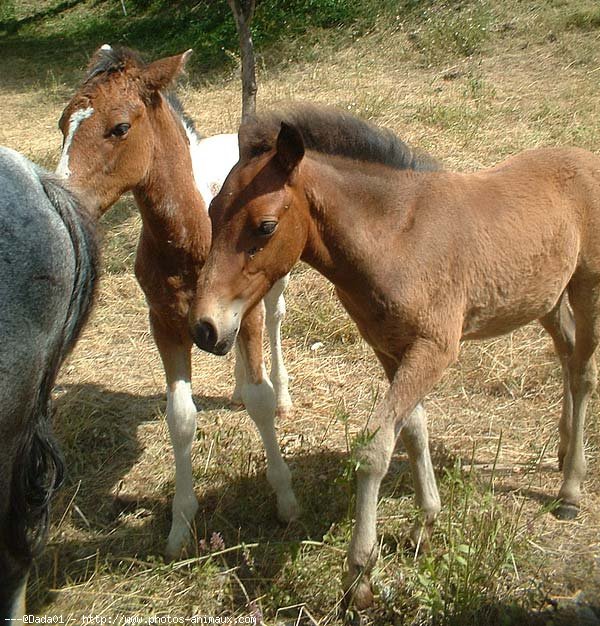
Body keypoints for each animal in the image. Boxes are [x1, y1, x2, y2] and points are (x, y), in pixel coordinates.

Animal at [58, 46, 298, 560]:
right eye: (63, 123)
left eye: (119, 127)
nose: (64, 197)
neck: (192, 232)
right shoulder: (165, 324)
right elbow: (181, 417)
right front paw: (180, 527)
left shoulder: (246, 310)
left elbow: (261, 399)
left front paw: (285, 498)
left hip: (275, 283)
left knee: (275, 321)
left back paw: (283, 392)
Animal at [191, 105, 600, 608]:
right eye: (212, 211)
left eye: (265, 226)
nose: (205, 328)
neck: (397, 236)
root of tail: (586, 158)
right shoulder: (389, 347)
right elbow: (414, 430)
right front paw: (427, 521)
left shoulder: (434, 349)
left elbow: (375, 446)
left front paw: (359, 573)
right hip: (544, 295)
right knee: (566, 352)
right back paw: (561, 450)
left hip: (587, 285)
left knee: (583, 372)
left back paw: (571, 489)